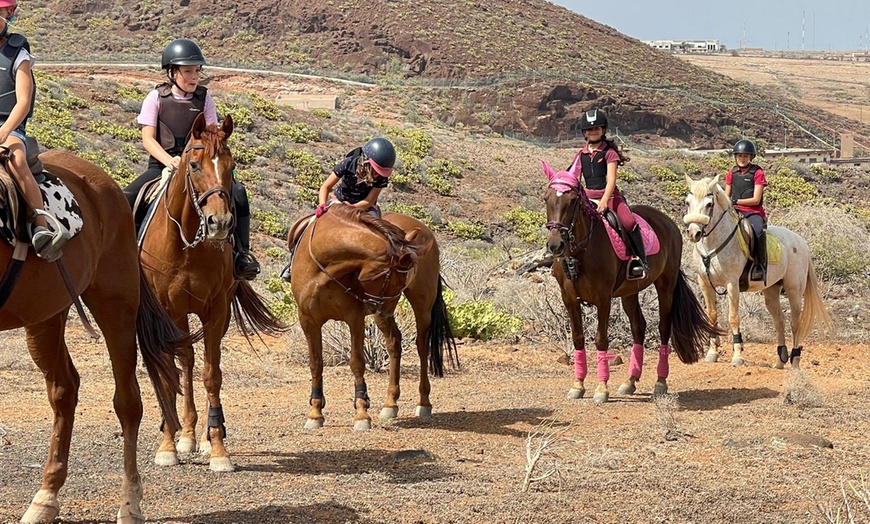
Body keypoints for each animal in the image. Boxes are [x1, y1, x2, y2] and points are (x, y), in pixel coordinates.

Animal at [1, 149, 186, 520]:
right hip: (46, 316)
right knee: (64, 390)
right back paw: (45, 498)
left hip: (116, 305)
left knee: (128, 403)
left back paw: (129, 505)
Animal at [138, 113, 284, 470]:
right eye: (193, 165)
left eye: (231, 166)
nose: (220, 223)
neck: (187, 244)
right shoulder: (168, 311)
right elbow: (174, 371)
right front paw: (169, 445)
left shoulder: (216, 310)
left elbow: (211, 374)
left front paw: (217, 447)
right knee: (185, 362)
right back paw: (186, 435)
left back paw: (200, 438)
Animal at [290, 205, 460, 430]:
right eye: (391, 279)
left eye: (401, 281)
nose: (383, 308)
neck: (323, 269)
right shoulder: (308, 320)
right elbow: (316, 364)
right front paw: (315, 413)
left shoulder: (354, 318)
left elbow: (357, 363)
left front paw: (362, 413)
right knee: (394, 342)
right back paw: (390, 404)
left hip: (422, 305)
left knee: (422, 346)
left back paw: (423, 402)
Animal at [544, 162, 724, 404]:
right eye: (546, 198)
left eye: (572, 201)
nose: (555, 245)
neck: (580, 252)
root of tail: (668, 222)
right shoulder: (569, 299)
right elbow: (578, 339)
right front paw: (578, 385)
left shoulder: (603, 299)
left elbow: (601, 339)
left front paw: (601, 388)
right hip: (629, 292)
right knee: (639, 327)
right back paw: (630, 381)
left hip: (665, 285)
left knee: (663, 328)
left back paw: (660, 382)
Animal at [680, 174, 832, 366]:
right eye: (687, 202)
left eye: (709, 204)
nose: (694, 233)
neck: (712, 245)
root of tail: (800, 241)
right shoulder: (705, 283)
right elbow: (712, 316)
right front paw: (712, 353)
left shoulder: (732, 284)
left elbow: (733, 317)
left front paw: (738, 356)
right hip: (771, 290)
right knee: (779, 322)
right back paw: (780, 361)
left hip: (794, 291)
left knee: (795, 323)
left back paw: (795, 360)